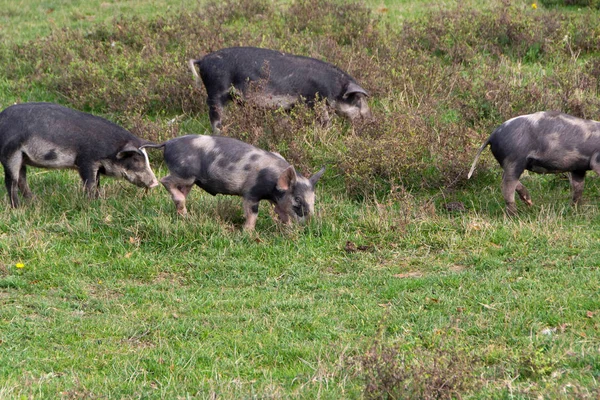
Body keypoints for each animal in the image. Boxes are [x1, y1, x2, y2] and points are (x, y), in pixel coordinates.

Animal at [0, 101, 159, 208]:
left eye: (147, 159)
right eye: (136, 159)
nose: (155, 182)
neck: (110, 149)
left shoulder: (97, 166)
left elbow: (97, 183)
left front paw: (98, 201)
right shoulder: (86, 161)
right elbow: (90, 184)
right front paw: (90, 204)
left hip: (22, 158)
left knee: (21, 179)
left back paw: (34, 201)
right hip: (10, 154)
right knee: (11, 182)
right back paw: (18, 208)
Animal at [144, 134, 326, 230]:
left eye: (314, 199)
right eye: (297, 199)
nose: (310, 223)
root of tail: (167, 143)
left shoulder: (276, 199)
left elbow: (281, 213)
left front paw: (288, 229)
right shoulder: (251, 192)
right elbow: (252, 212)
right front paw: (248, 233)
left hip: (189, 181)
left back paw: (184, 215)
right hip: (184, 173)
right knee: (164, 180)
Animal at [190, 46, 372, 132]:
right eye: (358, 99)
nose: (371, 119)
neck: (333, 87)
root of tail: (203, 60)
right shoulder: (314, 101)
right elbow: (325, 120)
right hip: (216, 91)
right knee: (215, 118)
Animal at [466, 111, 600, 214]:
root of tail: (493, 134)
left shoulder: (578, 168)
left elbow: (578, 188)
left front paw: (573, 210)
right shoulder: (595, 161)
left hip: (512, 162)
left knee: (506, 179)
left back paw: (529, 203)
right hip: (514, 159)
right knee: (507, 184)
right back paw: (514, 215)